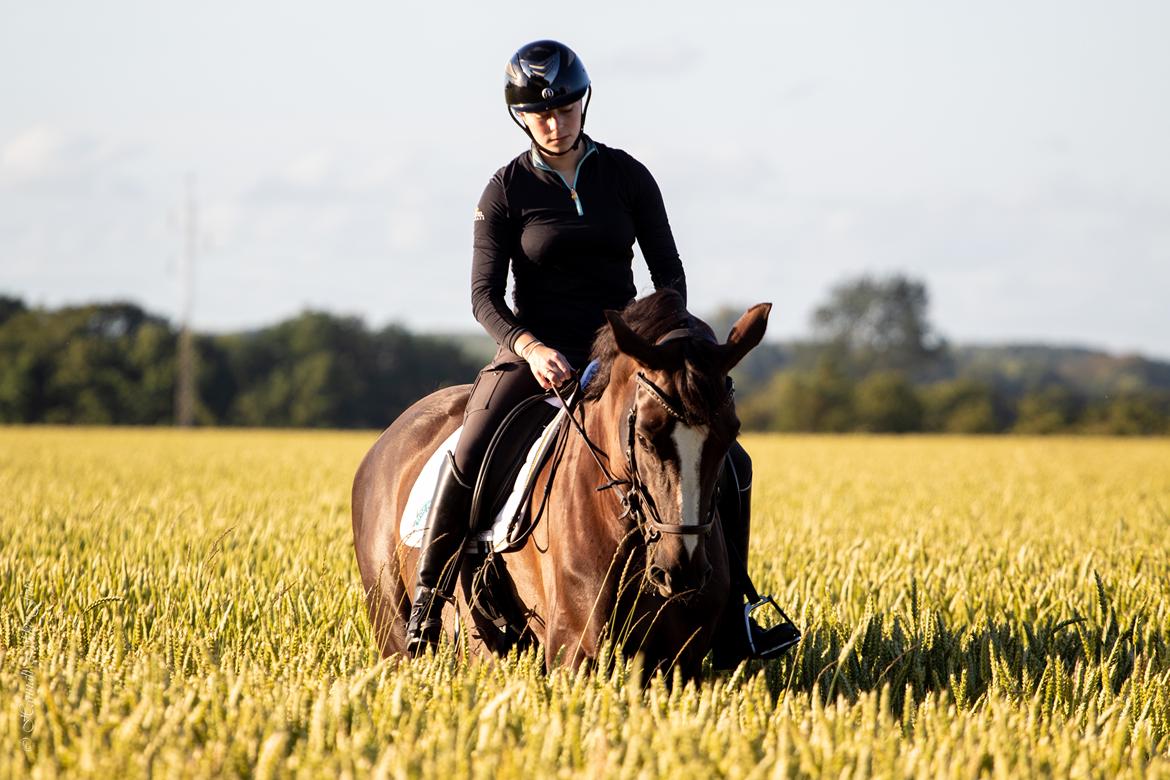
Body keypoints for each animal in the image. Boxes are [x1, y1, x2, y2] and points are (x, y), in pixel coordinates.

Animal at [351, 290, 772, 678]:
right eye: (646, 434)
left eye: (729, 434)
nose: (681, 572)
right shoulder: (575, 650)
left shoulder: (680, 660)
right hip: (400, 630)